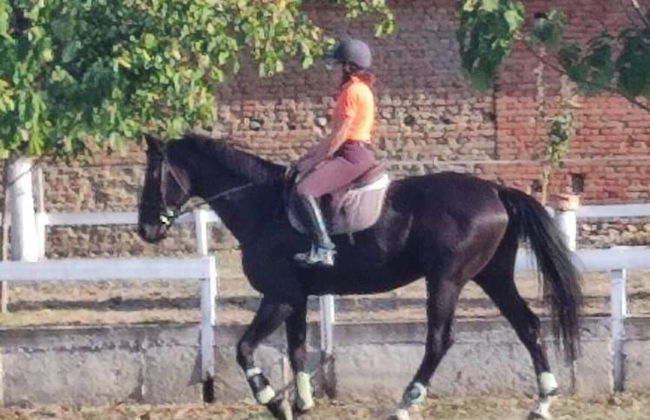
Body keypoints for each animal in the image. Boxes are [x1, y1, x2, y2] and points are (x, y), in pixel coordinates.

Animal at [137, 133, 581, 420]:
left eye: (154, 173)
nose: (146, 229)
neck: (263, 207)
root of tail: (494, 190)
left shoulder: (278, 297)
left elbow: (244, 348)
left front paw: (272, 400)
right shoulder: (296, 298)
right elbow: (297, 350)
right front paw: (301, 405)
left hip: (446, 280)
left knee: (439, 340)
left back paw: (405, 404)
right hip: (493, 276)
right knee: (528, 325)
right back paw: (542, 402)